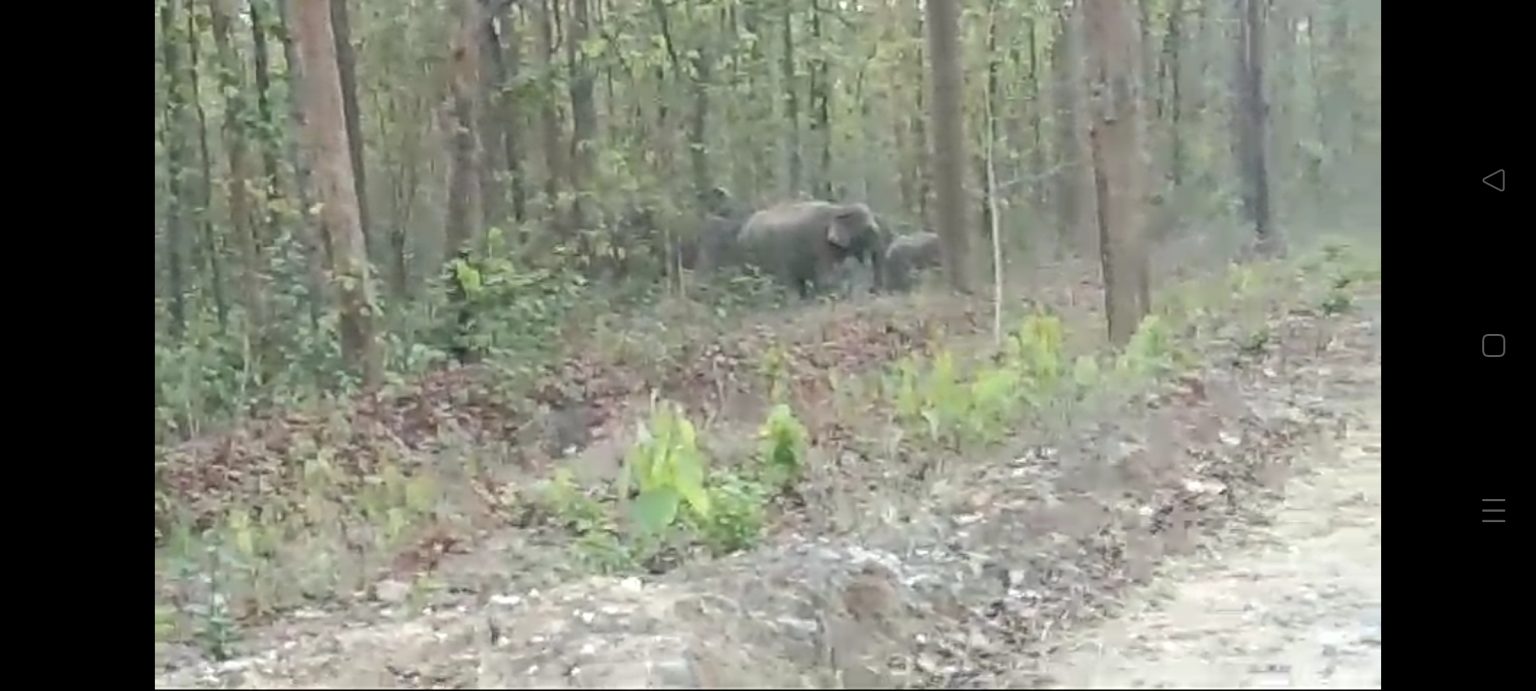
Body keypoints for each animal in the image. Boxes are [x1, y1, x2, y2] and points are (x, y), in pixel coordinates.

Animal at [736, 200, 887, 298]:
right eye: (869, 230)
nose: (872, 291)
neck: (839, 208)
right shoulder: (819, 244)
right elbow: (826, 279)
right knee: (784, 281)